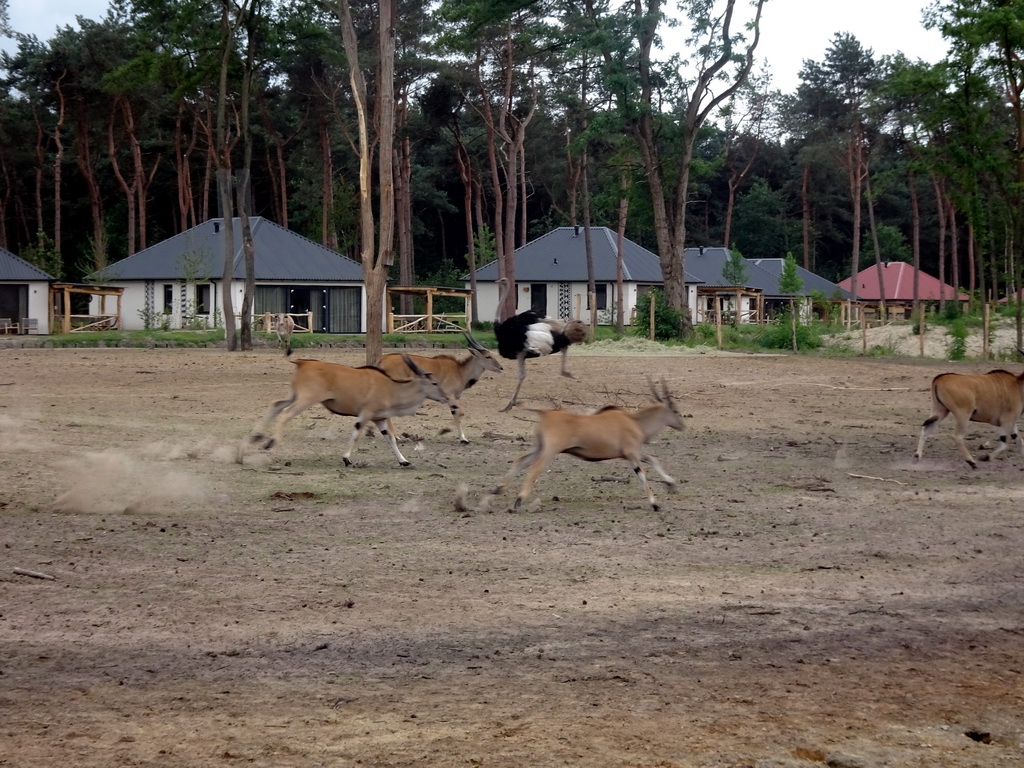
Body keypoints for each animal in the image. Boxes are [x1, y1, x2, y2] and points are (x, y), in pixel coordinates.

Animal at [247, 354, 456, 468]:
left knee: (276, 405)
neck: (391, 387)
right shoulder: (366, 414)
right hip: (306, 398)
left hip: (295, 395)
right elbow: (356, 434)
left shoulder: (379, 419)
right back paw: (270, 443)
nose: (446, 398)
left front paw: (404, 461)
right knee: (286, 413)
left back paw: (256, 436)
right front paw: (347, 459)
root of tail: (302, 362)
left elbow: (391, 439)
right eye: (434, 383)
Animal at [491, 378, 684, 512]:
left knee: (520, 461)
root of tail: (545, 412)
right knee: (535, 468)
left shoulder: (633, 453)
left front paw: (671, 485)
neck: (634, 421)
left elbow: (653, 460)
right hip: (550, 450)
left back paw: (497, 490)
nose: (683, 426)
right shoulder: (632, 454)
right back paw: (519, 499)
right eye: (675, 411)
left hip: (540, 447)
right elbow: (643, 474)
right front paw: (655, 504)